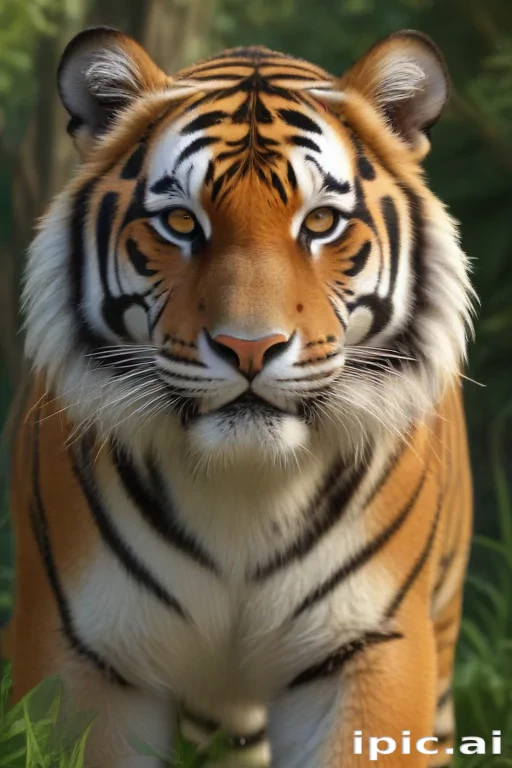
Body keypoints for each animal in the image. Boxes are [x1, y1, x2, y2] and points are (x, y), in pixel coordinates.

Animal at [7, 24, 475, 768]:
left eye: (320, 223)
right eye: (179, 222)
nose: (249, 348)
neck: (244, 493)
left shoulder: (369, 648)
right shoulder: (83, 656)